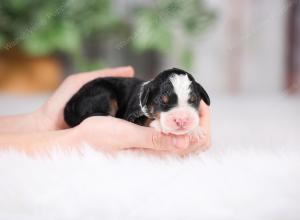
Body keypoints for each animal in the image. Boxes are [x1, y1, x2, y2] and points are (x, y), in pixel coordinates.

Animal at [64, 68, 210, 135]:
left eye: (194, 100)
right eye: (161, 101)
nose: (181, 120)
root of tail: (71, 103)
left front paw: (196, 130)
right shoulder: (132, 115)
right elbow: (146, 119)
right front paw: (159, 125)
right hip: (103, 94)